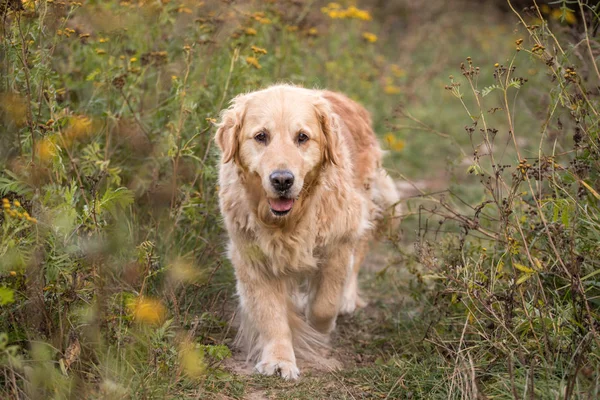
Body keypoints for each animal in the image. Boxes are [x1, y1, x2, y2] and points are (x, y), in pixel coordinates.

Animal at [216, 83, 398, 378]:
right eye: (261, 136)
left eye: (302, 137)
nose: (282, 180)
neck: (289, 222)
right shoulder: (252, 258)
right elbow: (270, 314)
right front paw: (279, 359)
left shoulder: (338, 242)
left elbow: (324, 305)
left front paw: (318, 326)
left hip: (363, 203)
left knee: (358, 252)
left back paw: (347, 299)